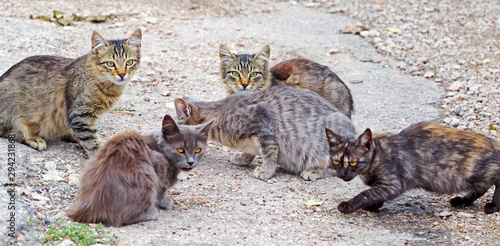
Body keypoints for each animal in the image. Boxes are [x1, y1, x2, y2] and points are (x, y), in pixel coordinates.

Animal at [0, 28, 143, 156]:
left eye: (129, 62)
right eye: (110, 64)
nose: (122, 74)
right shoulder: (80, 115)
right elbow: (92, 143)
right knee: (12, 133)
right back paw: (35, 138)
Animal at [66, 115, 213, 227]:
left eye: (198, 150)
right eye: (180, 150)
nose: (191, 162)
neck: (158, 147)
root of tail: (88, 206)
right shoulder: (160, 169)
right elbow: (161, 191)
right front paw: (165, 202)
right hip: (147, 175)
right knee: (121, 218)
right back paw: (151, 213)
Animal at [174, 84, 354, 181]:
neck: (220, 112)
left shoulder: (263, 126)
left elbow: (269, 154)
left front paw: (266, 170)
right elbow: (249, 152)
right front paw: (242, 158)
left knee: (335, 168)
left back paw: (314, 171)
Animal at [326, 122, 500, 214]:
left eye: (353, 163)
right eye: (336, 162)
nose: (342, 174)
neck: (377, 154)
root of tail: (494, 143)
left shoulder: (393, 184)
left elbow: (366, 193)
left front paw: (349, 205)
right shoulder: (385, 186)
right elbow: (374, 193)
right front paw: (374, 206)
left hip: (472, 173)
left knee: (496, 181)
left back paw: (493, 206)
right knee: (483, 187)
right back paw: (462, 200)